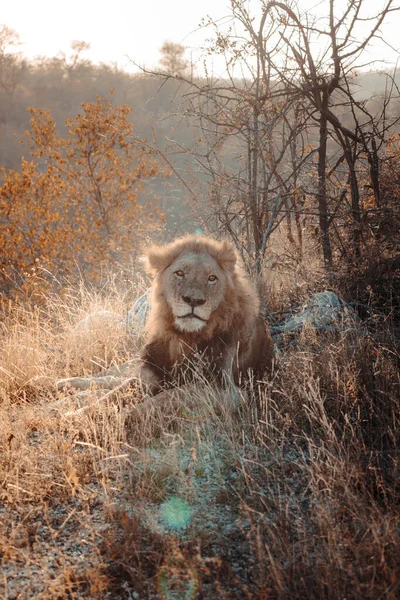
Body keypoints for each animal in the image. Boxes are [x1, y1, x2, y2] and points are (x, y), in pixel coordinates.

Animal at [56, 234, 274, 404]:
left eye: (212, 278)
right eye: (179, 273)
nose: (194, 300)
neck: (185, 337)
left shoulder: (226, 389)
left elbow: (167, 397)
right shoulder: (151, 370)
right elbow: (116, 392)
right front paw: (75, 415)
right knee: (109, 375)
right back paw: (61, 384)